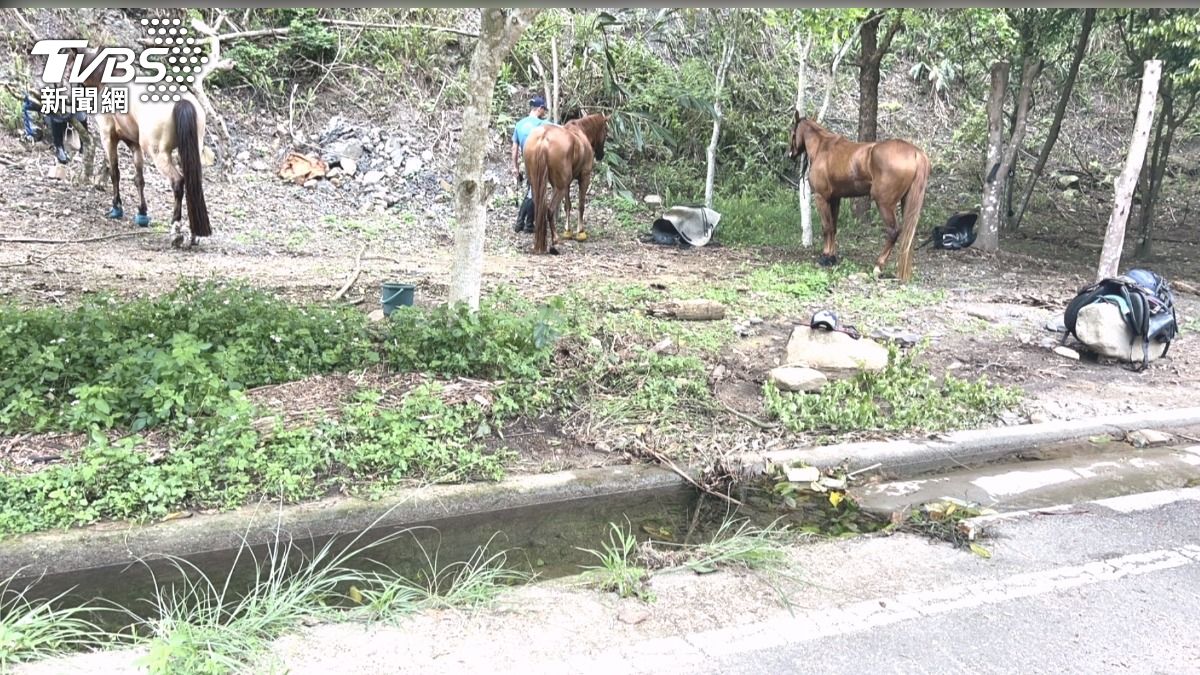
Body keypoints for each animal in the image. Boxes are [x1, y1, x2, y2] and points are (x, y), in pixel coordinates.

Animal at [76, 49, 211, 249]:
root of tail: (181, 101)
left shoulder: (108, 136)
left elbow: (115, 172)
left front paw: (116, 208)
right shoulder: (135, 145)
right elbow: (139, 179)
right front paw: (142, 213)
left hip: (159, 154)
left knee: (178, 182)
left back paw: (176, 231)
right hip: (191, 151)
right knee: (192, 183)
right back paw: (194, 235)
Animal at [523, 113, 609, 254]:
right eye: (606, 131)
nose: (601, 155)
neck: (581, 131)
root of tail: (544, 138)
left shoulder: (568, 183)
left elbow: (568, 205)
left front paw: (568, 232)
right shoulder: (584, 177)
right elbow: (581, 205)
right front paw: (580, 232)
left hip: (538, 184)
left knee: (539, 208)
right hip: (559, 187)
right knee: (550, 210)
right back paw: (554, 240)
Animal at [788, 113, 930, 283]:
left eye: (792, 131)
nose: (790, 154)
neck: (823, 147)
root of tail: (916, 153)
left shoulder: (821, 198)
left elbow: (826, 227)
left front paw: (825, 257)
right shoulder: (835, 199)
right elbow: (833, 227)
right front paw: (832, 257)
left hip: (884, 204)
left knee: (893, 231)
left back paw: (878, 266)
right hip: (907, 202)